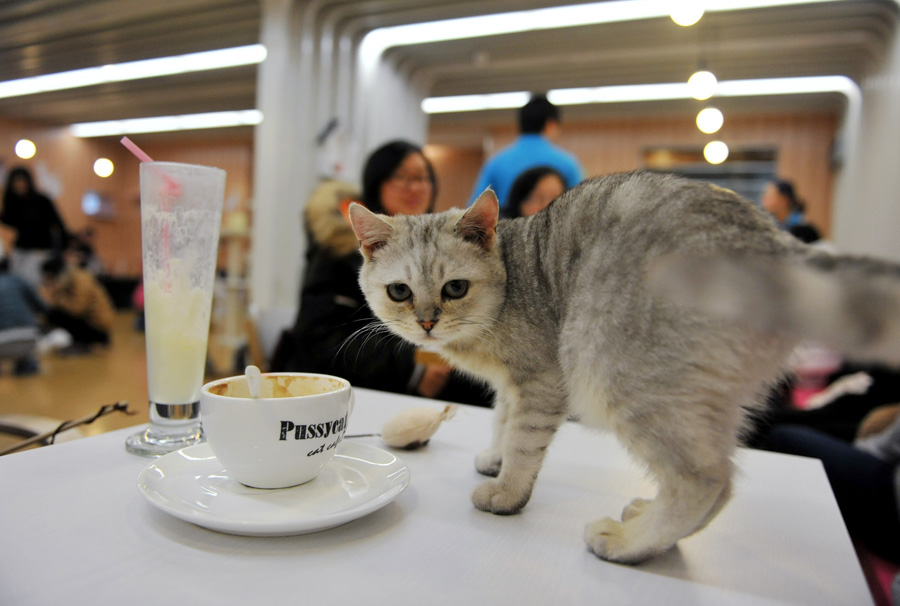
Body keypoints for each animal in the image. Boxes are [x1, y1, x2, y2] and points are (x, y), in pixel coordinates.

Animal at [350, 170, 900, 564]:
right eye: (399, 292)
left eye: (455, 288)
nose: (426, 323)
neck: (511, 281)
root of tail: (783, 248)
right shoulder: (513, 384)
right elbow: (502, 421)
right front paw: (494, 456)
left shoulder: (542, 380)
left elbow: (523, 442)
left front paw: (507, 489)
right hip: (707, 401)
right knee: (722, 483)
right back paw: (647, 524)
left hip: (614, 372)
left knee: (705, 480)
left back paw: (627, 543)